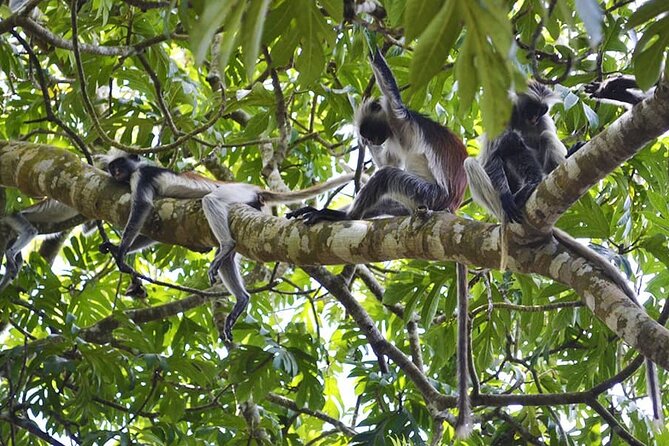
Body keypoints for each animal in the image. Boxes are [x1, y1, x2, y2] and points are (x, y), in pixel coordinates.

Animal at [96, 149, 357, 343]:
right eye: (112, 167)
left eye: (120, 164)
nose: (115, 171)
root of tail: (254, 188)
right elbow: (155, 228)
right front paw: (114, 247)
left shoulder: (142, 176)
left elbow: (143, 206)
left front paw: (121, 252)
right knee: (229, 258)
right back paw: (241, 297)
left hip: (234, 193)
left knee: (211, 201)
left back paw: (226, 245)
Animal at [287, 49, 473, 437]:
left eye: (372, 132)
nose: (370, 142)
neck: (395, 133)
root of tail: (452, 205)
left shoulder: (401, 119)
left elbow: (391, 90)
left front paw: (369, 40)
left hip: (430, 195)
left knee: (387, 176)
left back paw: (338, 217)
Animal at [465, 80, 663, 425]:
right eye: (531, 109)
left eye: (541, 111)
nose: (535, 118)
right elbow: (492, 155)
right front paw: (507, 189)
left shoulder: (540, 125)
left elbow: (540, 139)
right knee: (477, 161)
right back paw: (514, 196)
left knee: (539, 148)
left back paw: (538, 180)